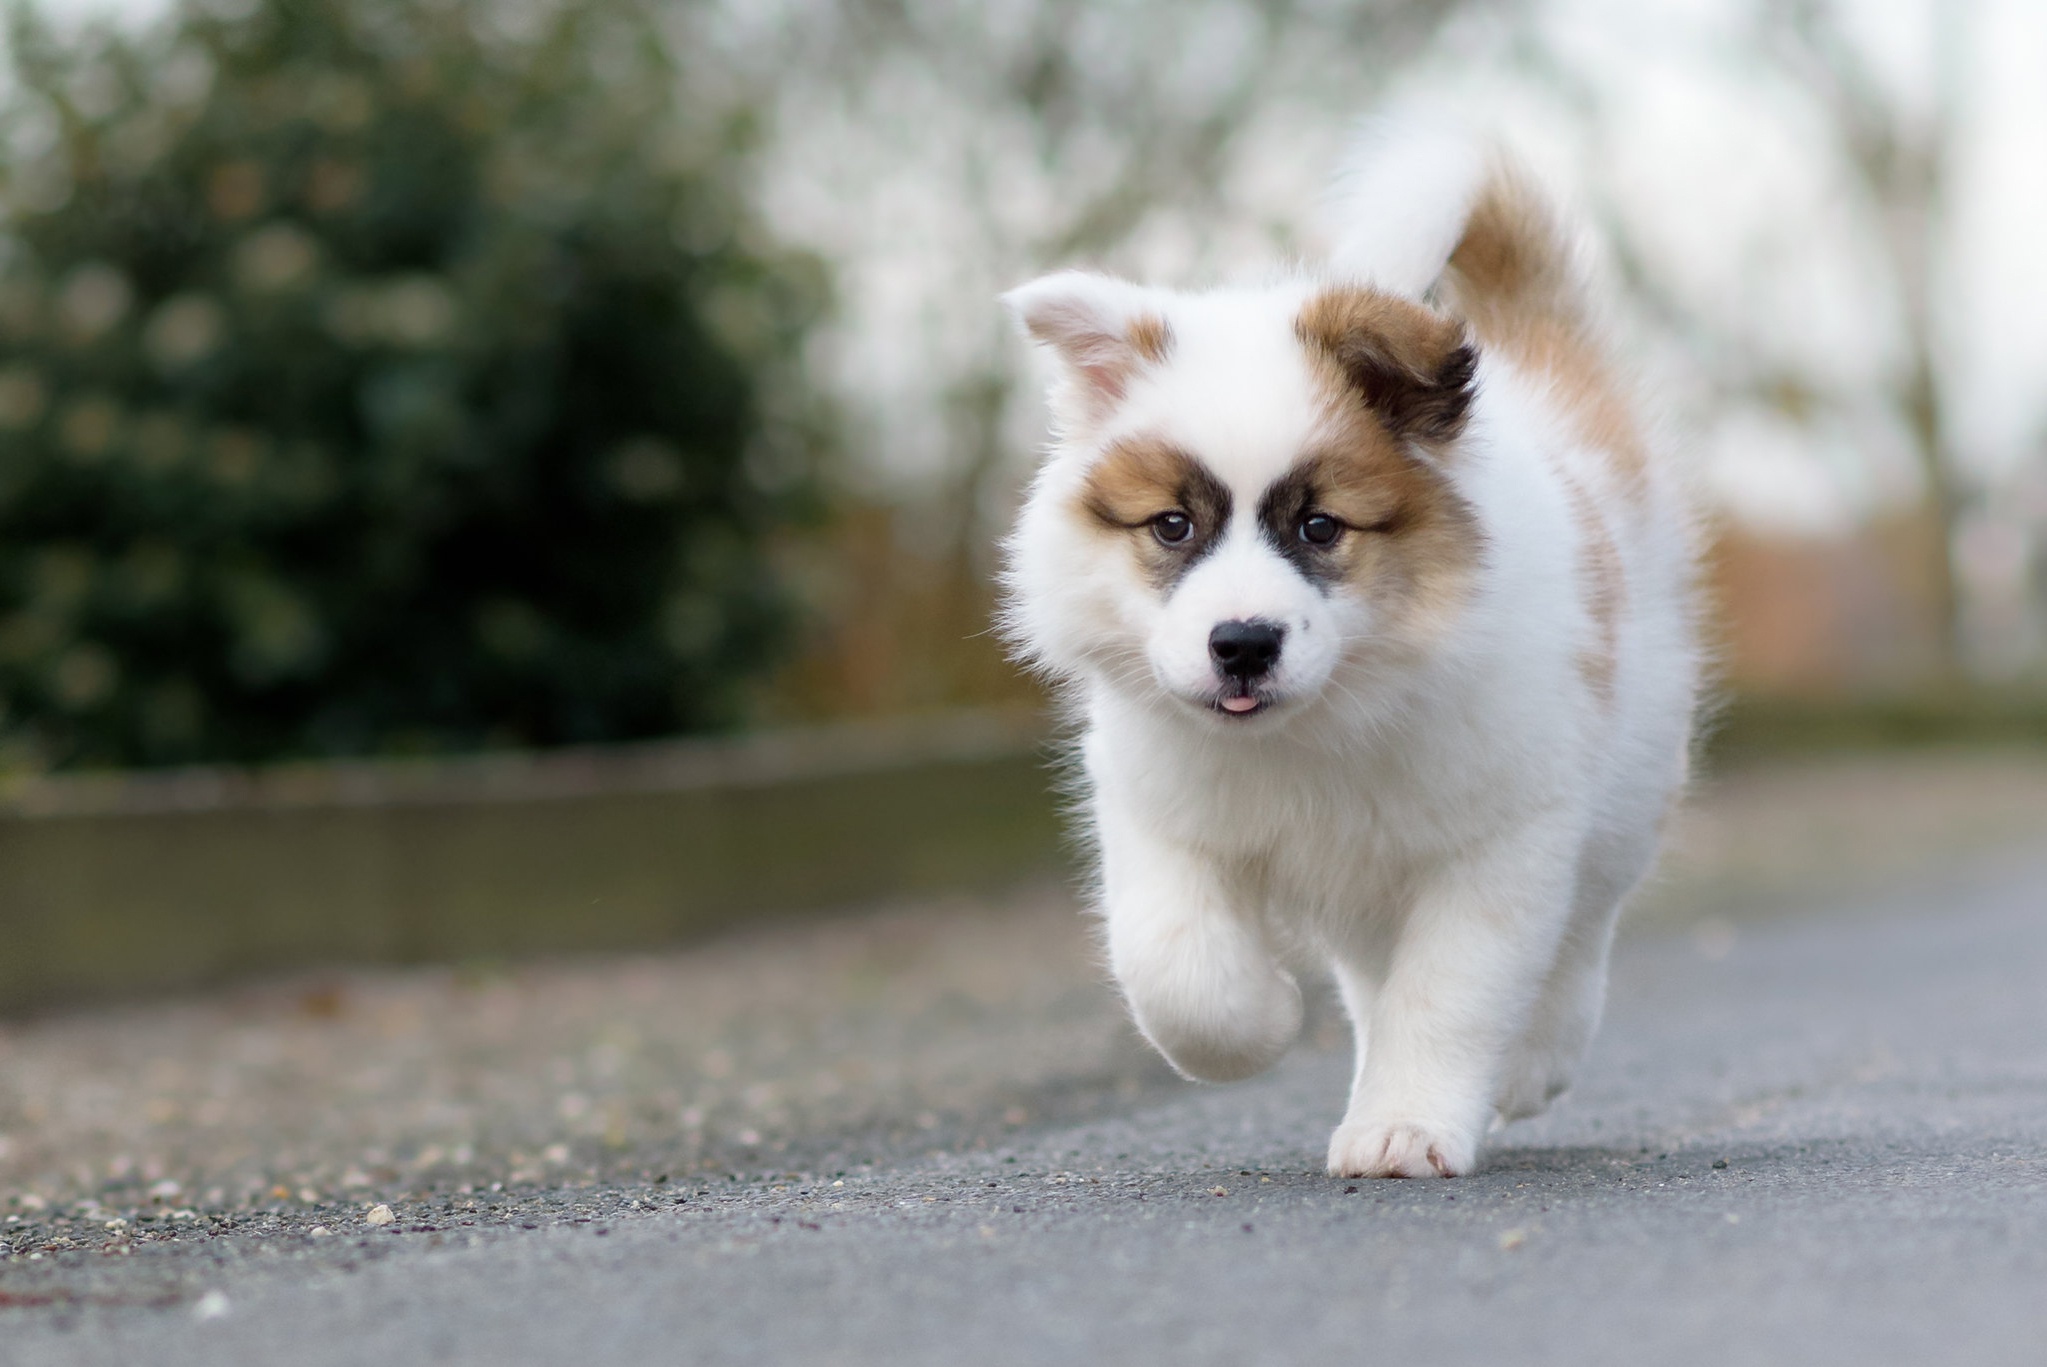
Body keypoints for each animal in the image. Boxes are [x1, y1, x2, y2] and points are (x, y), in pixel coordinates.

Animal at [998, 127, 1703, 1178]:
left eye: (1320, 526)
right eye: (1172, 525)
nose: (1241, 644)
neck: (1316, 727)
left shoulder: (1498, 844)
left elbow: (1451, 996)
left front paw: (1406, 1127)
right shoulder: (1156, 809)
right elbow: (1177, 968)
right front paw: (1262, 1023)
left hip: (1626, 777)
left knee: (1584, 926)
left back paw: (1536, 1062)